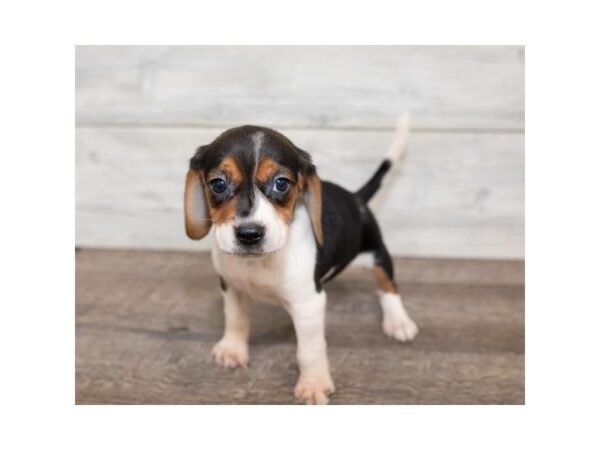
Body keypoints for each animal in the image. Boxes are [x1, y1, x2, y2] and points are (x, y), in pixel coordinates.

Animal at [185, 116, 420, 404]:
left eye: (281, 183)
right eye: (218, 184)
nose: (249, 234)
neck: (259, 262)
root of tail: (356, 198)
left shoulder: (309, 303)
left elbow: (310, 349)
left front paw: (314, 383)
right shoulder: (231, 287)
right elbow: (235, 318)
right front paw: (232, 349)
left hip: (376, 252)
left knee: (388, 285)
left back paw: (398, 322)